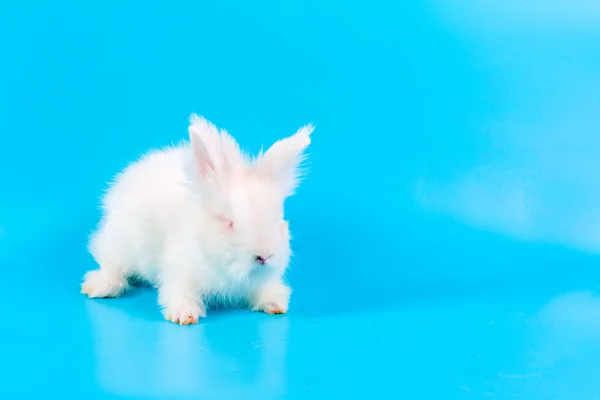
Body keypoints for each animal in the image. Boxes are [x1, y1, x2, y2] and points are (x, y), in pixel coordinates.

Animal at [81, 113, 314, 324]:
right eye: (230, 223)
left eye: (278, 222)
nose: (264, 256)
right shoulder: (179, 272)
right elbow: (179, 293)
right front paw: (185, 316)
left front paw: (276, 305)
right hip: (120, 244)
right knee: (111, 265)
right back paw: (100, 288)